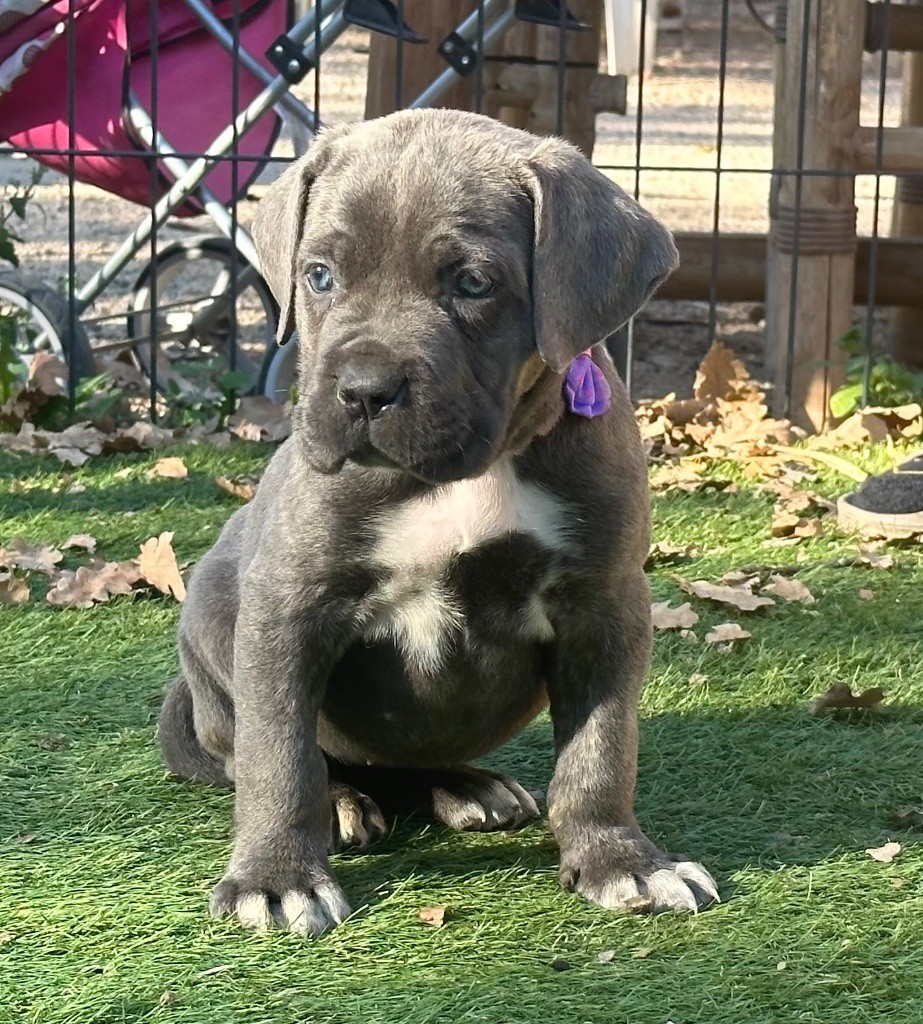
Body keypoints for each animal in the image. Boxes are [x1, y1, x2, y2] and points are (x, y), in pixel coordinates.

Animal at [156, 108, 721, 933]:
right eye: (319, 276)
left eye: (472, 283)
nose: (363, 391)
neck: (464, 473)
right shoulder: (289, 604)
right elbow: (278, 755)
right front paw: (277, 876)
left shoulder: (605, 604)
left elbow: (601, 747)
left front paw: (621, 860)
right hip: (210, 615)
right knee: (286, 754)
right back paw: (345, 803)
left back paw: (465, 785)